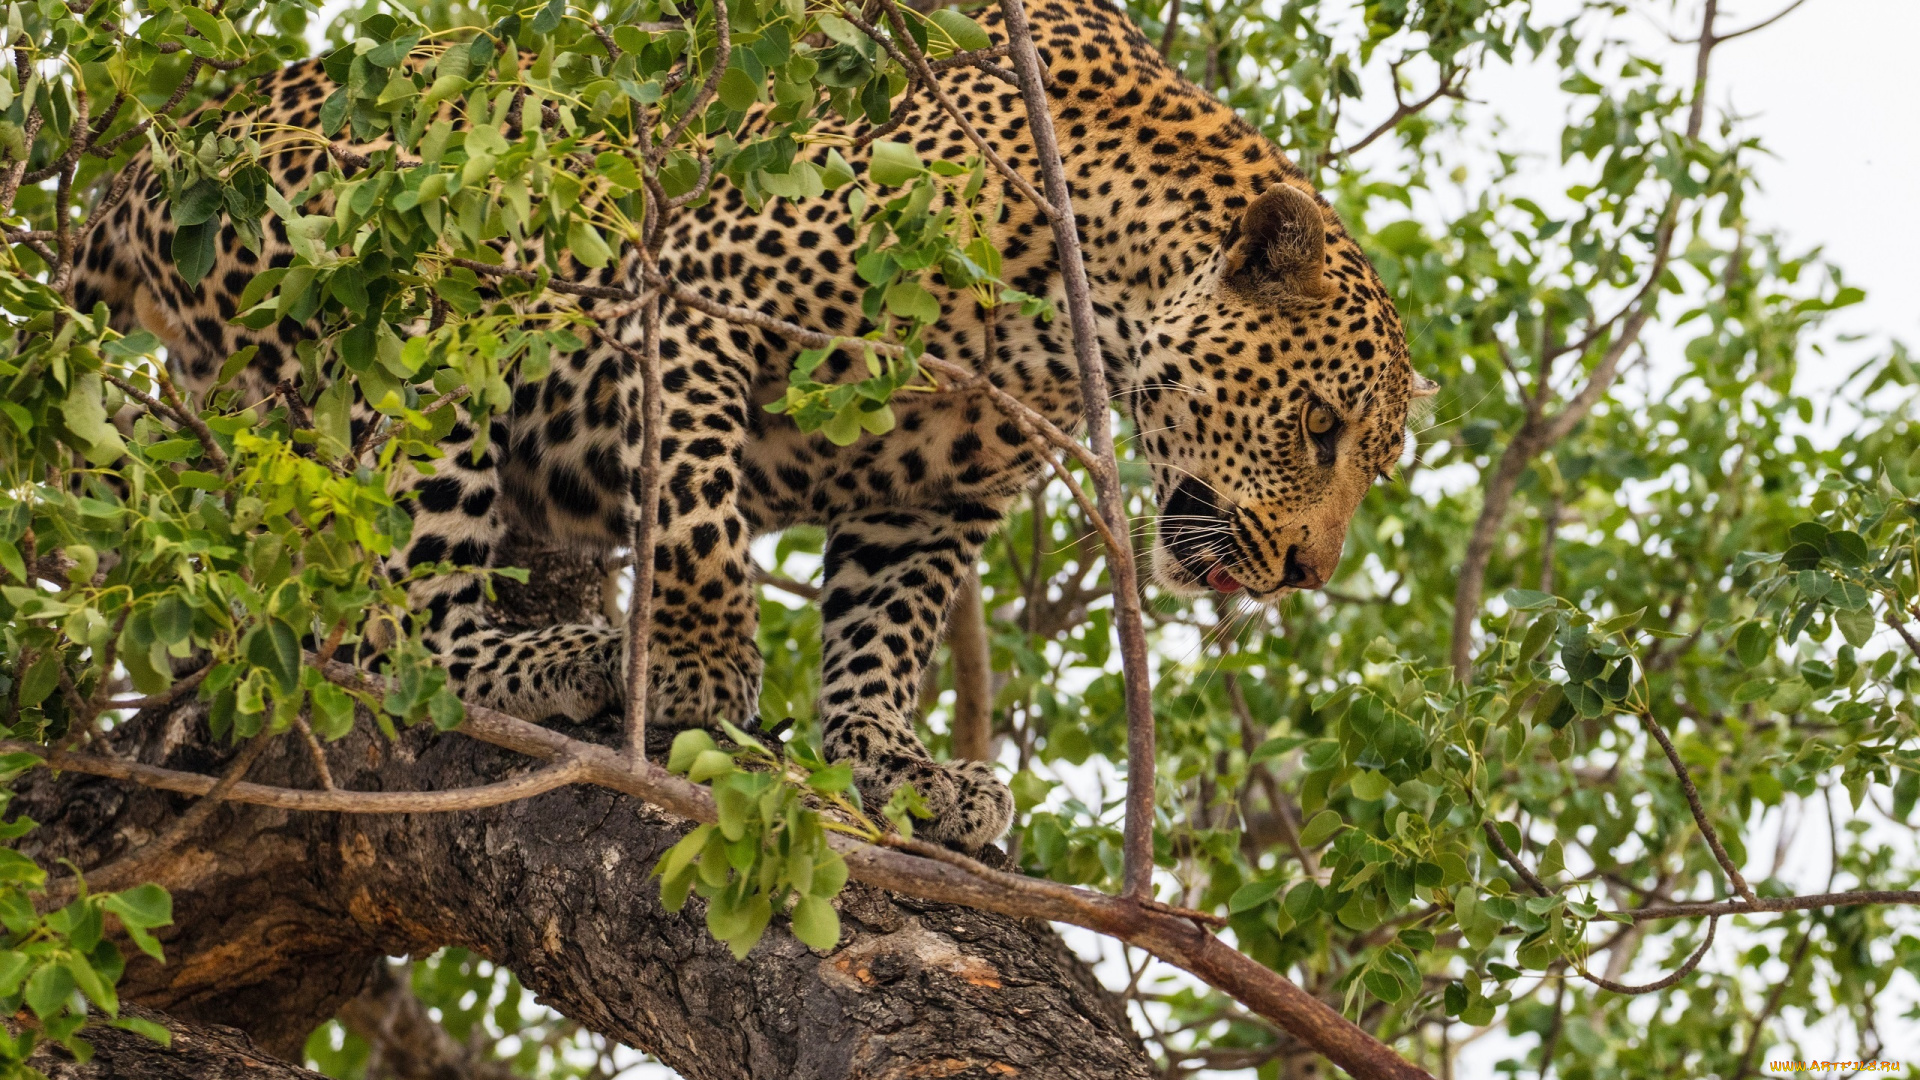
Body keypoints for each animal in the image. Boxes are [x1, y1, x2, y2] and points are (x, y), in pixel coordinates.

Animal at [74, 0, 1436, 849]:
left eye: (1368, 459)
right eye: (1319, 426)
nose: (1305, 571)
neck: (1078, 304)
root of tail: (142, 170)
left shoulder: (931, 491)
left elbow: (883, 634)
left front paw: (897, 765)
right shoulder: (689, 293)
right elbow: (696, 517)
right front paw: (694, 672)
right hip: (413, 306)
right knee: (389, 629)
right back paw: (567, 659)